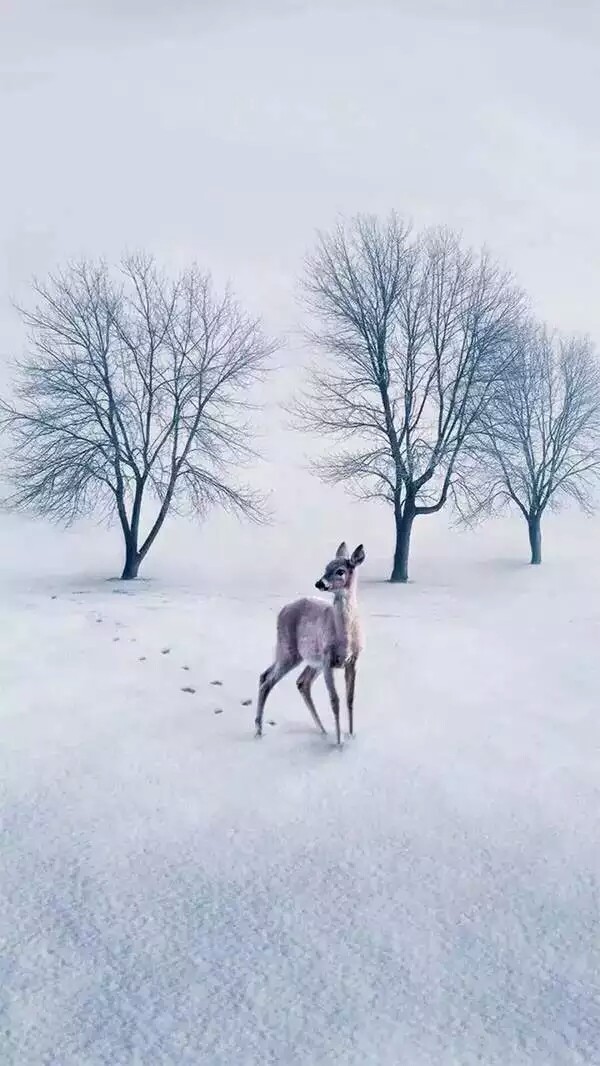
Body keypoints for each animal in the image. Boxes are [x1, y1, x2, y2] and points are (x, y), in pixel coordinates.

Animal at [254, 541, 366, 741]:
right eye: (325, 567)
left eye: (340, 571)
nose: (319, 583)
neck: (344, 637)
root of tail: (282, 610)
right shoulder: (327, 659)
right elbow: (334, 700)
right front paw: (339, 742)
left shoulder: (353, 660)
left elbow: (350, 699)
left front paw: (351, 736)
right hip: (289, 650)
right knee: (268, 680)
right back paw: (259, 730)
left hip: (305, 658)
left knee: (296, 681)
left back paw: (322, 730)